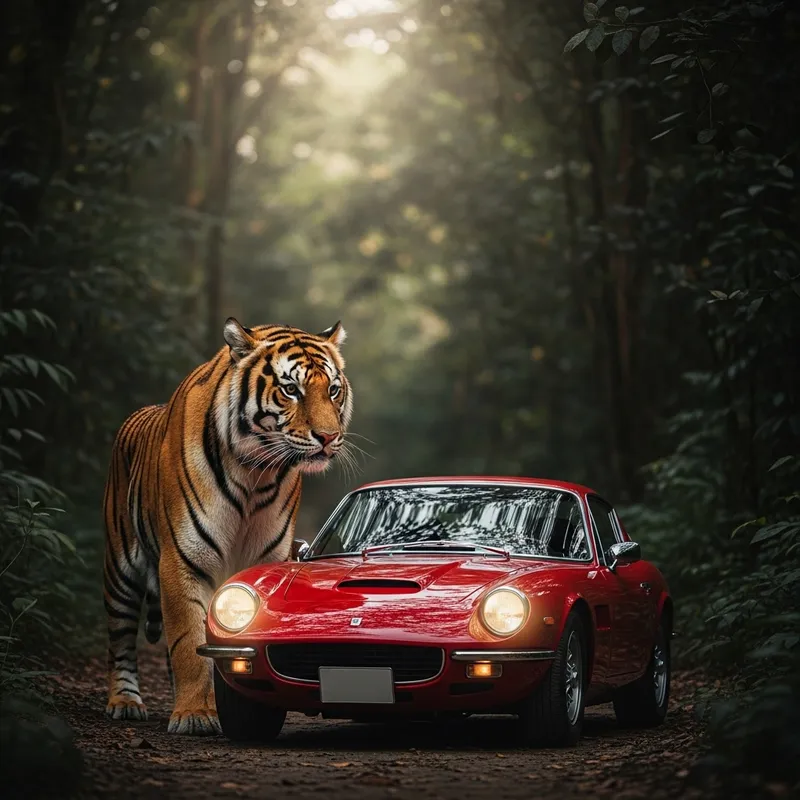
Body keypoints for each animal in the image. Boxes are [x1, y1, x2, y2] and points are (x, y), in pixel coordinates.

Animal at [102, 318, 352, 734]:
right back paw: (124, 702)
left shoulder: (268, 559)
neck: (257, 473)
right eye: (290, 389)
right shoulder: (183, 560)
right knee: (120, 641)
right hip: (120, 571)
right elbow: (188, 642)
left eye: (333, 390)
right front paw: (194, 715)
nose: (329, 437)